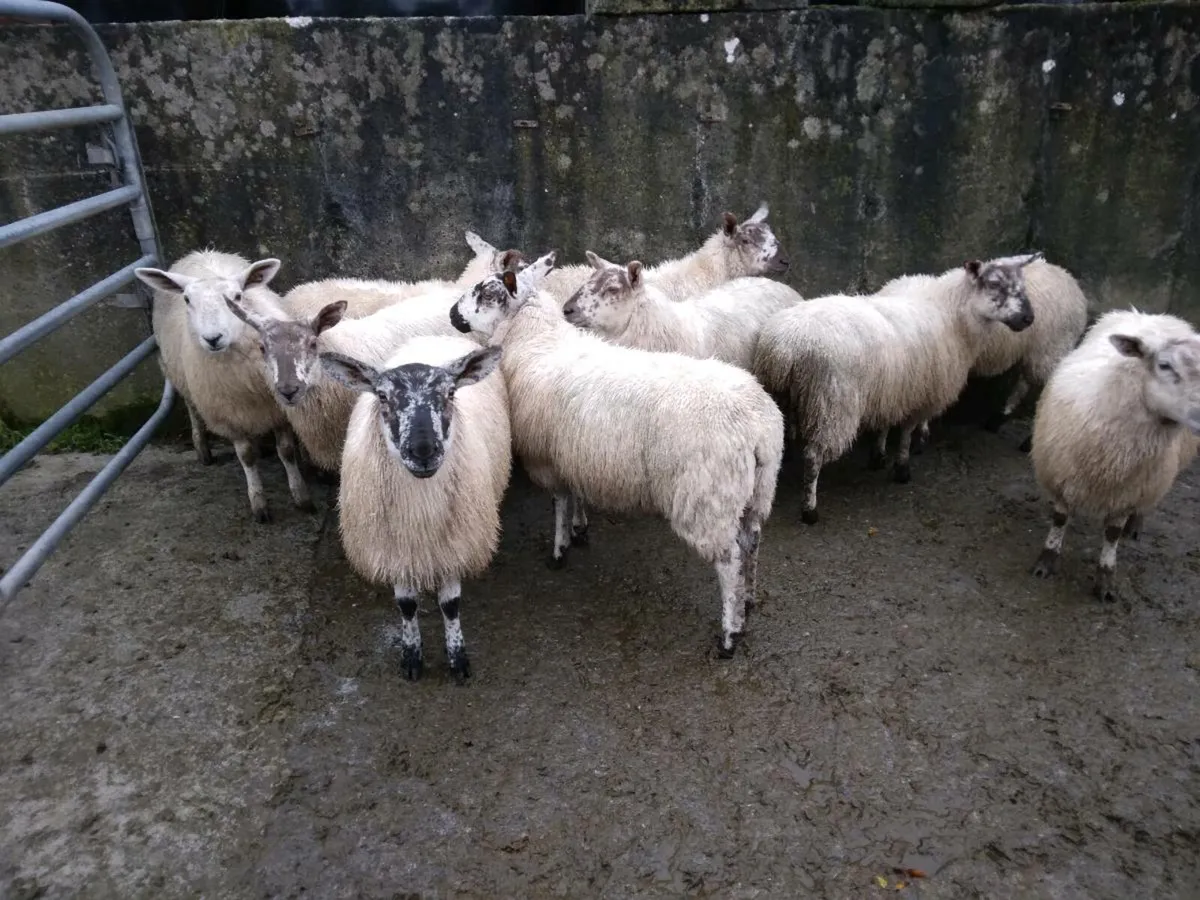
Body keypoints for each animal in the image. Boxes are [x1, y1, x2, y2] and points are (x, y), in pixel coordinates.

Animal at [134, 250, 313, 522]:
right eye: (187, 299)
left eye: (238, 297)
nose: (213, 338)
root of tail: (201, 252)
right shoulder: (229, 416)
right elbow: (246, 457)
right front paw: (258, 503)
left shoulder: (278, 410)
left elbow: (286, 451)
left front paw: (300, 495)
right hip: (180, 377)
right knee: (192, 409)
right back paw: (202, 448)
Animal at [319, 336, 509, 682]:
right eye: (382, 395)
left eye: (451, 393)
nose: (423, 451)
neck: (421, 516)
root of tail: (437, 338)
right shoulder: (394, 550)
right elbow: (406, 606)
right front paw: (411, 656)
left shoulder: (454, 546)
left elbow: (451, 606)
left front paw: (457, 659)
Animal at [754, 253, 1040, 525]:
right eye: (995, 284)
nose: (1029, 319)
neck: (953, 316)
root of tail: (786, 345)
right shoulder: (920, 394)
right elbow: (906, 432)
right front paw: (902, 468)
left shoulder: (893, 390)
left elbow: (885, 424)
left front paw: (878, 456)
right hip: (832, 404)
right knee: (814, 457)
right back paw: (810, 510)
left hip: (784, 393)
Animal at [877, 259, 1089, 454]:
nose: (1028, 319)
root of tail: (1069, 280)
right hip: (1037, 352)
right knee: (1024, 383)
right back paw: (999, 418)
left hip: (1051, 350)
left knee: (1048, 387)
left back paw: (1028, 441)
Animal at [1029, 310, 1200, 602]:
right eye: (1164, 365)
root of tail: (1154, 315)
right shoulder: (1061, 474)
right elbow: (1060, 518)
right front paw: (1047, 560)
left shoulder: (1129, 491)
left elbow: (1112, 533)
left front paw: (1106, 577)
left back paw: (1137, 523)